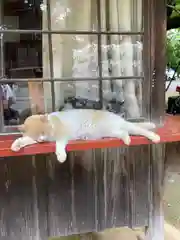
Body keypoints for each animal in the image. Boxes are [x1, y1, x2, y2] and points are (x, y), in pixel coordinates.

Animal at [10, 109, 160, 163]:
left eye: (43, 132)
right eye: (37, 135)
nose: (42, 140)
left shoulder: (62, 135)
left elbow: (59, 145)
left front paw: (61, 156)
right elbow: (24, 140)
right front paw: (17, 145)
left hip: (115, 127)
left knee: (138, 129)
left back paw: (154, 137)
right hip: (111, 131)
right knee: (124, 132)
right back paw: (127, 139)